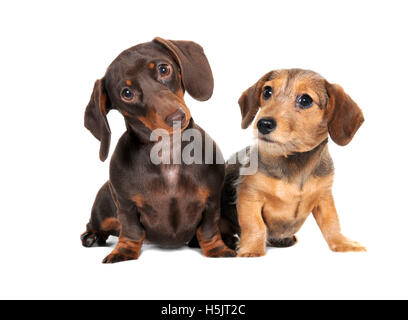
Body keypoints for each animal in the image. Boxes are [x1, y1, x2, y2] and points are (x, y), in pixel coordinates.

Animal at [80, 37, 236, 262]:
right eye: (127, 93)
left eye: (164, 69)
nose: (176, 117)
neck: (167, 152)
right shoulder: (126, 205)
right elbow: (131, 230)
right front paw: (123, 251)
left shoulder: (212, 200)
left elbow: (208, 229)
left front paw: (217, 250)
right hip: (103, 207)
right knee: (96, 224)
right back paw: (93, 236)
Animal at [220, 68, 366, 258]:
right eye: (267, 92)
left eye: (305, 100)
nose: (263, 124)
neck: (294, 159)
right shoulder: (249, 195)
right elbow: (254, 226)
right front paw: (252, 249)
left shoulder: (324, 197)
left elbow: (332, 223)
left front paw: (342, 243)